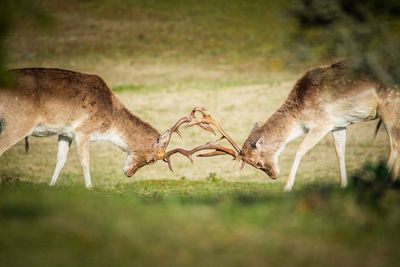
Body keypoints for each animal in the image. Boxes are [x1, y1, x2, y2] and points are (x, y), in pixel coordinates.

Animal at [0, 67, 216, 188]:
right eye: (152, 160)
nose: (129, 173)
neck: (110, 119)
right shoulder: (83, 130)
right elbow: (85, 160)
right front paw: (89, 187)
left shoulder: (65, 132)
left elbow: (60, 160)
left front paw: (51, 186)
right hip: (18, 121)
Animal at [164, 62, 398, 193]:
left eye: (258, 163)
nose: (274, 176)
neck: (299, 116)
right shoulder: (339, 125)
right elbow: (339, 152)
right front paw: (343, 185)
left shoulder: (323, 122)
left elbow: (300, 149)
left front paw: (287, 186)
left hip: (389, 108)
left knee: (394, 145)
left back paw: (384, 180)